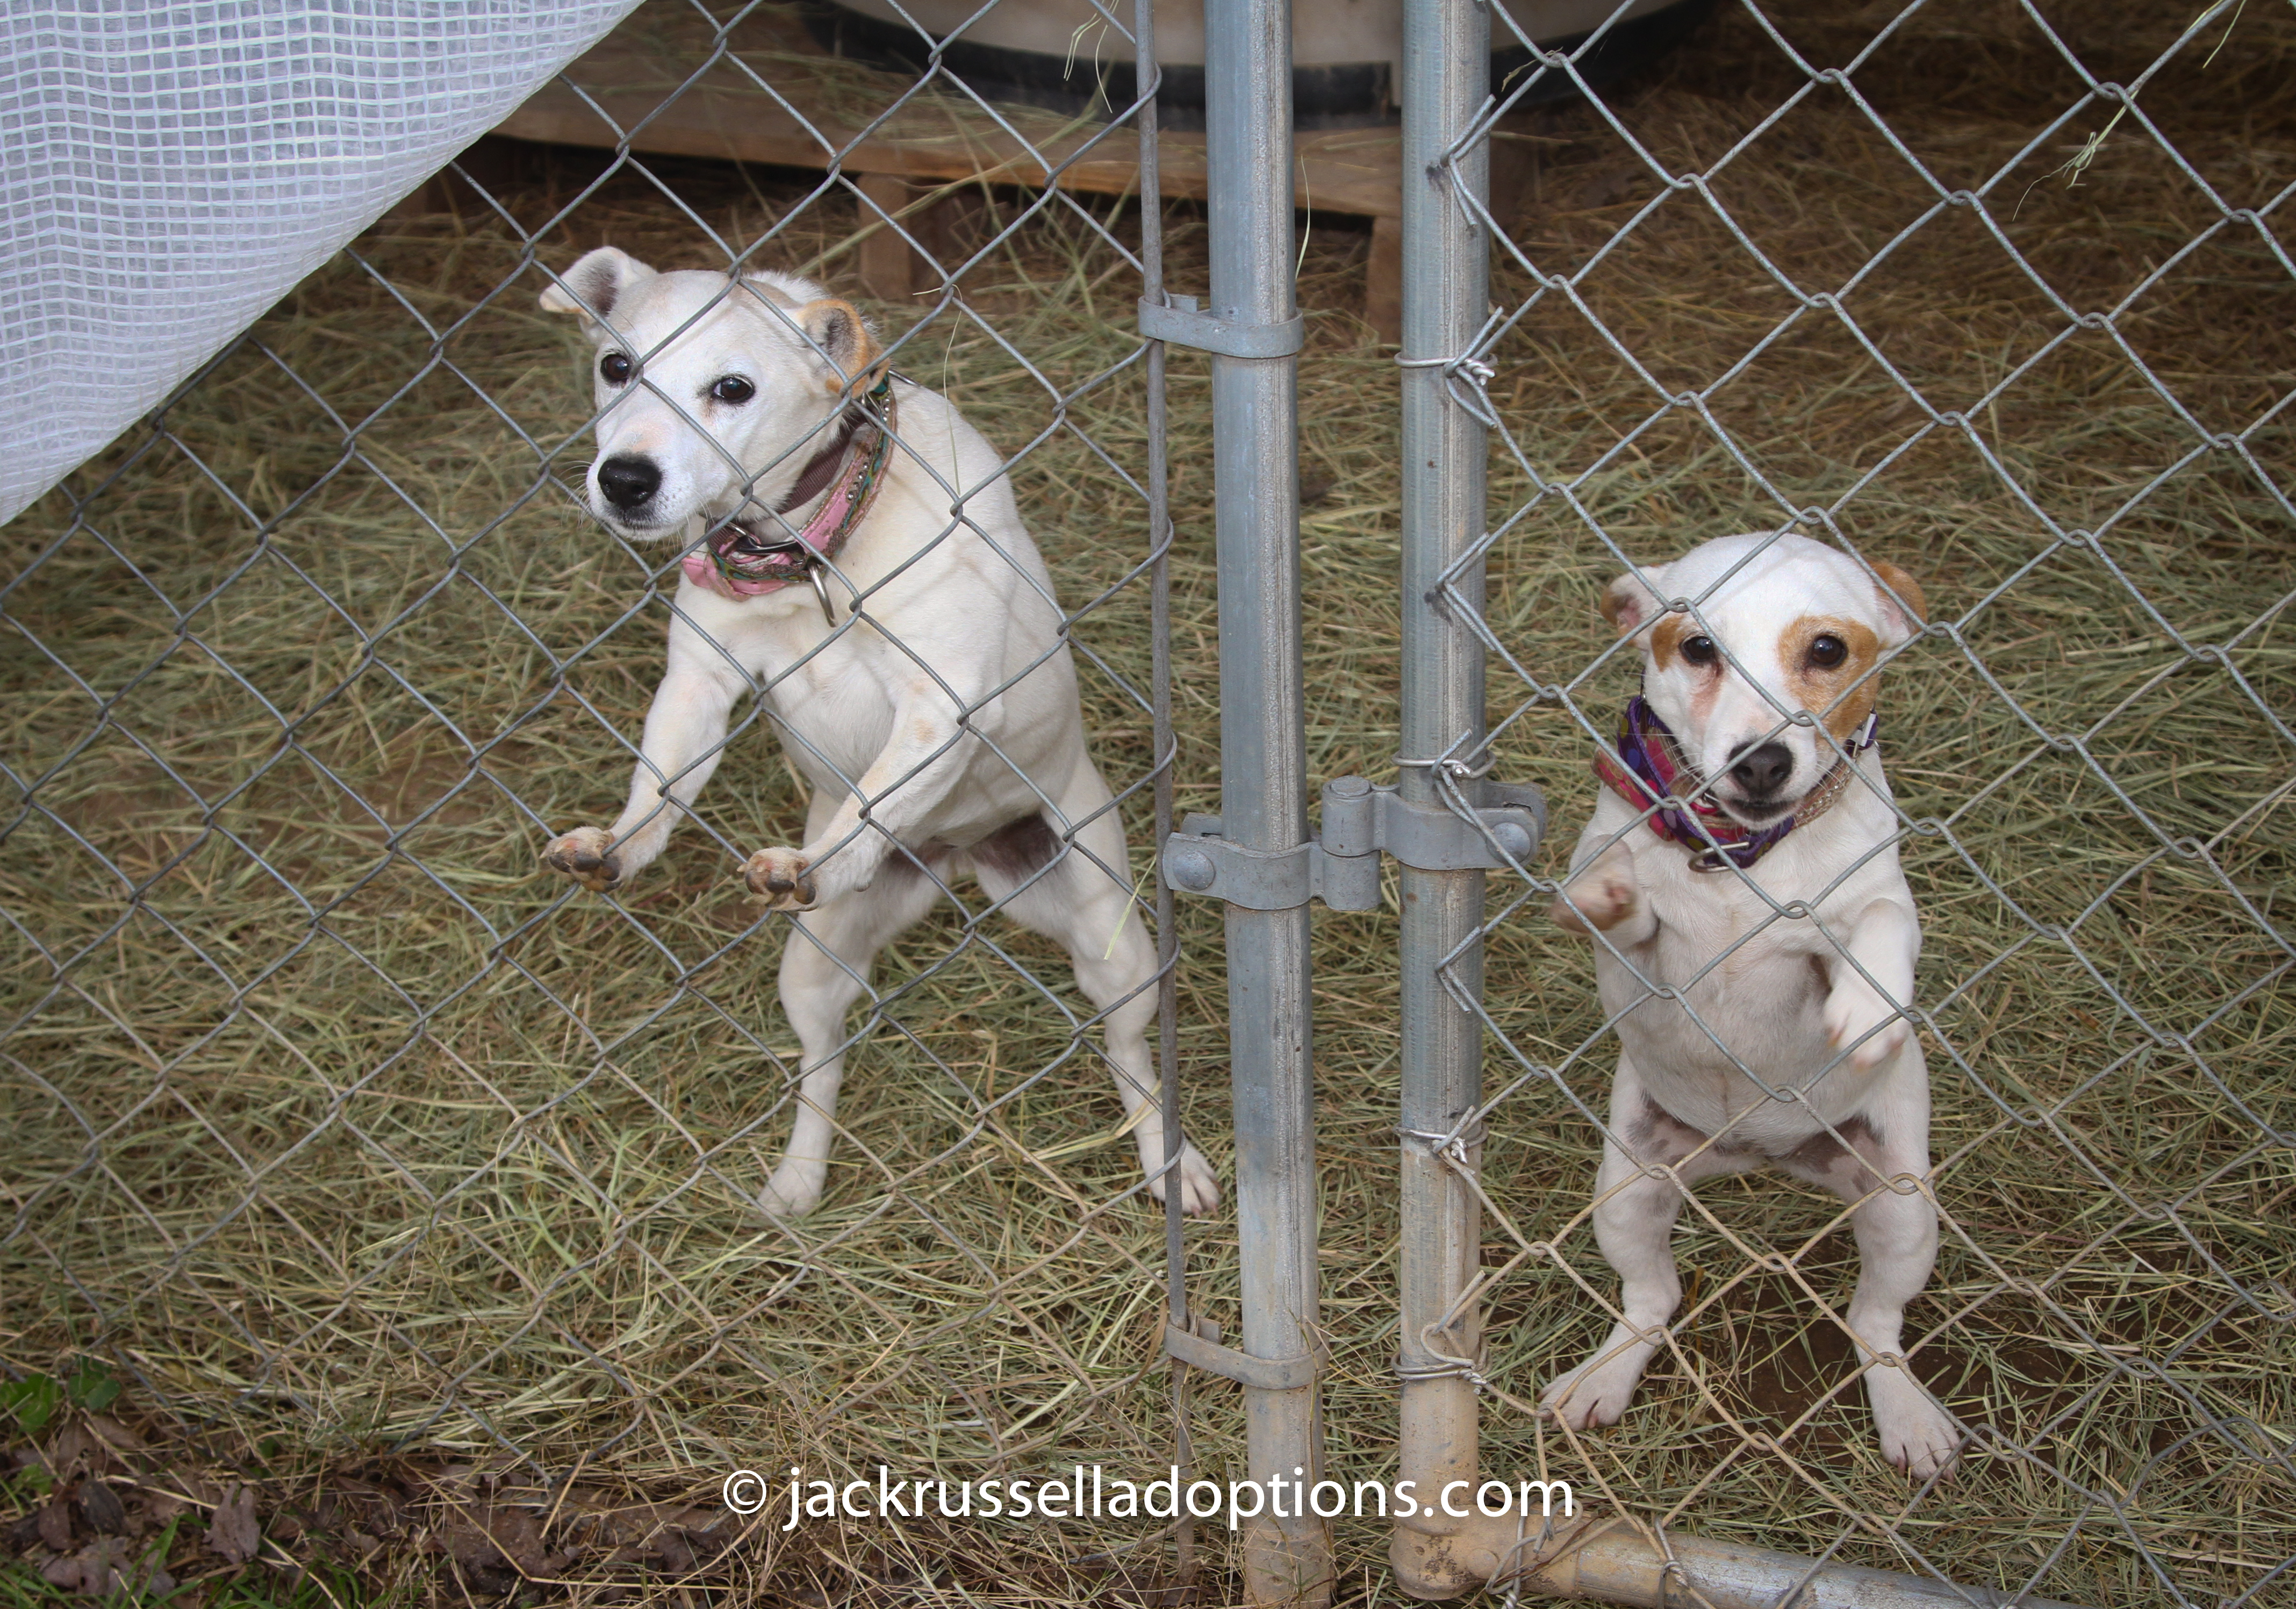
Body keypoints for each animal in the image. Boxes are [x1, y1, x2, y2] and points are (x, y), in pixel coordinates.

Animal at [535, 242, 1221, 1221]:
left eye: (733, 387)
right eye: (615, 367)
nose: (624, 478)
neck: (808, 548)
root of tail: (959, 855)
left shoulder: (943, 703)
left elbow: (869, 804)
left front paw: (818, 860)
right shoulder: (700, 685)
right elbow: (659, 788)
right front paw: (620, 846)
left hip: (1116, 950)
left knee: (1130, 1059)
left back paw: (1173, 1163)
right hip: (813, 968)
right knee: (821, 1067)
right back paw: (799, 1175)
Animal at [1542, 532, 1956, 1478]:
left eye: (1829, 650)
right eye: (1697, 647)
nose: (1760, 761)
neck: (1740, 857)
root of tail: (1762, 1156)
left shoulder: (1863, 906)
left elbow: (1879, 921)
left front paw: (1872, 1001)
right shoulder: (1640, 947)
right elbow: (1624, 903)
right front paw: (1612, 890)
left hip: (1901, 1209)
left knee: (1876, 1325)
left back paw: (1909, 1417)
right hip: (1630, 1188)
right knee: (1652, 1299)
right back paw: (1603, 1378)